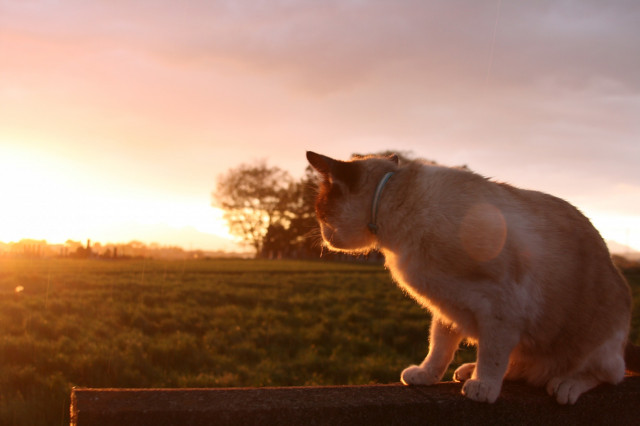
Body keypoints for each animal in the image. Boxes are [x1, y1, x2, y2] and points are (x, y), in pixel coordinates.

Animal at [308, 151, 636, 404]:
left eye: (321, 214)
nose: (323, 237)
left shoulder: (501, 306)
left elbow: (491, 355)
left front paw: (483, 387)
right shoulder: (446, 305)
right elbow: (439, 347)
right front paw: (426, 376)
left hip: (594, 343)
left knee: (607, 375)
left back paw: (564, 385)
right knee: (518, 366)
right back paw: (468, 370)